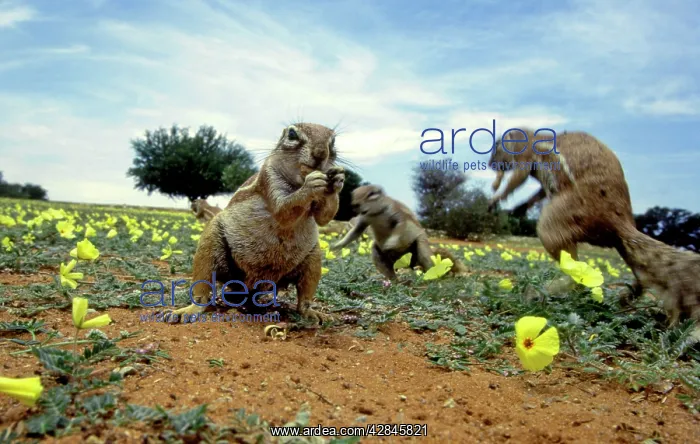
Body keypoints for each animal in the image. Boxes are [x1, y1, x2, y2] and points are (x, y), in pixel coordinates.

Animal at [169, 123, 344, 324]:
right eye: (292, 134)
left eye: (334, 141)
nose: (320, 152)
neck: (298, 180)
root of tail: (249, 286)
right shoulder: (269, 178)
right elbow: (283, 209)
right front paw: (311, 183)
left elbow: (324, 217)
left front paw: (338, 180)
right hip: (210, 244)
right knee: (203, 286)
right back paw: (188, 310)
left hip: (313, 258)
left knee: (304, 296)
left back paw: (311, 313)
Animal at [331, 184, 468, 280]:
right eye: (354, 194)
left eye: (371, 194)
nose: (355, 204)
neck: (376, 214)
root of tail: (408, 262)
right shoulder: (364, 220)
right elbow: (355, 232)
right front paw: (337, 245)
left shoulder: (398, 215)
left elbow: (399, 229)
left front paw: (390, 243)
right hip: (377, 254)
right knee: (389, 269)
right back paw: (393, 281)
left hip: (422, 246)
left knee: (427, 262)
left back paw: (431, 278)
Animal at [488, 128, 700, 325]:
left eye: (497, 146)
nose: (490, 164)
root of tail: (622, 223)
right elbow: (536, 193)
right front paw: (519, 208)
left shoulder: (526, 158)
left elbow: (517, 178)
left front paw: (495, 199)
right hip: (621, 246)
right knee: (642, 274)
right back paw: (625, 298)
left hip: (553, 222)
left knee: (574, 268)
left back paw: (539, 292)